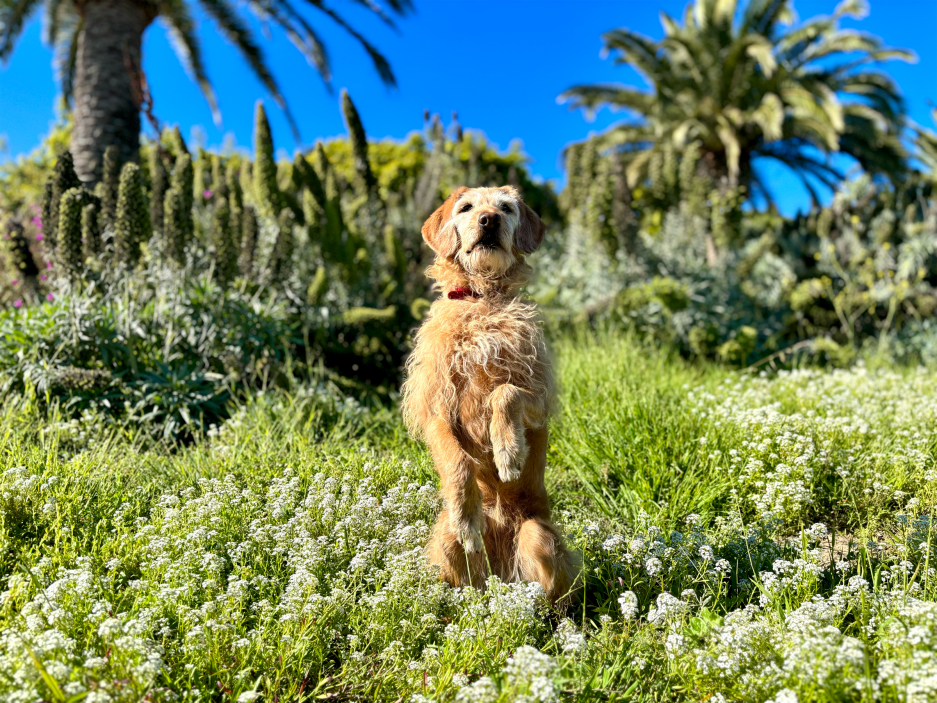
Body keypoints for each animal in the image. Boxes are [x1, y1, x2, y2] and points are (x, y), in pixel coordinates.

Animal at [400, 184, 576, 604]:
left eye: (506, 208)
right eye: (466, 207)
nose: (488, 219)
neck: (481, 299)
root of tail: (498, 574)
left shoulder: (537, 397)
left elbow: (504, 393)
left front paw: (507, 452)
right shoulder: (436, 408)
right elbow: (458, 461)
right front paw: (468, 514)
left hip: (539, 538)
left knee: (553, 596)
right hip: (445, 542)